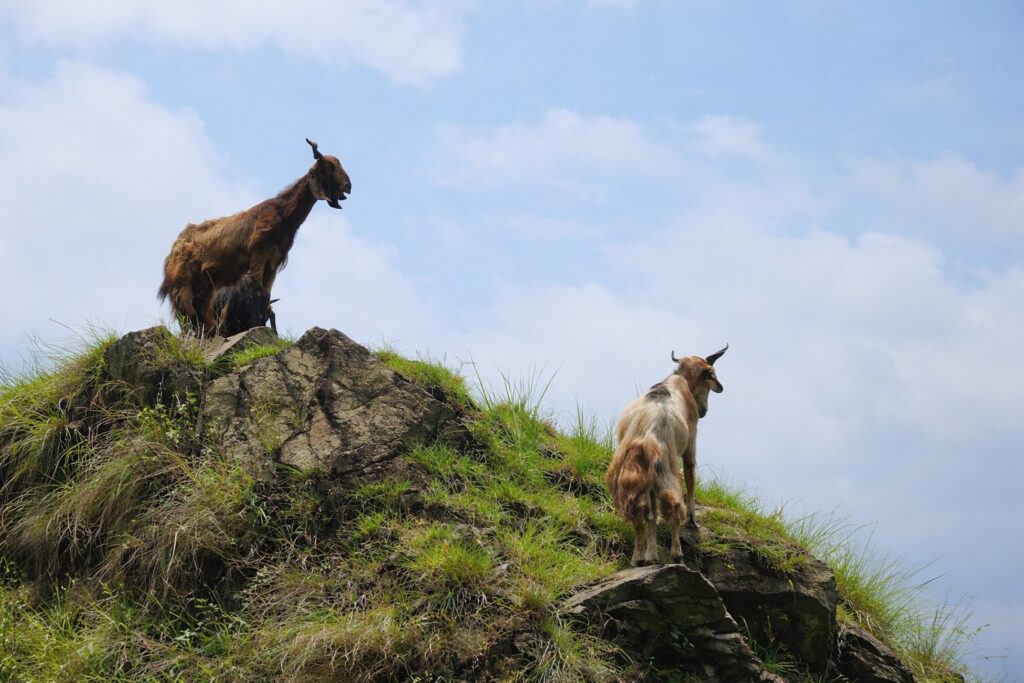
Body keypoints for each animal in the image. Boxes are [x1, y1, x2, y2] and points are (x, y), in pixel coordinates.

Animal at [158, 138, 351, 336]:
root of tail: (173, 249)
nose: (348, 186)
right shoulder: (259, 253)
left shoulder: (274, 262)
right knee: (186, 312)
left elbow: (266, 293)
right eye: (328, 166)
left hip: (205, 286)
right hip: (182, 283)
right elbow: (256, 290)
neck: (283, 214)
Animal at [605, 345, 727, 566]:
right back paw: (676, 555)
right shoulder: (690, 442)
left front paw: (651, 554)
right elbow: (691, 476)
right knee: (671, 504)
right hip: (665, 467)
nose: (703, 411)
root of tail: (644, 438)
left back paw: (639, 558)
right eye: (709, 378)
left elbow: (651, 516)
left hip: (634, 474)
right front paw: (693, 520)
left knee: (641, 511)